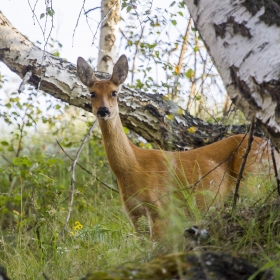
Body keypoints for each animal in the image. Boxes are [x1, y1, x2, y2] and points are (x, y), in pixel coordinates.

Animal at [77, 54, 278, 241]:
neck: (132, 167)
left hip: (254, 178)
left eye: (114, 92)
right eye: (92, 93)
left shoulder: (160, 208)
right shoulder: (133, 214)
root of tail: (273, 149)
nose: (103, 110)